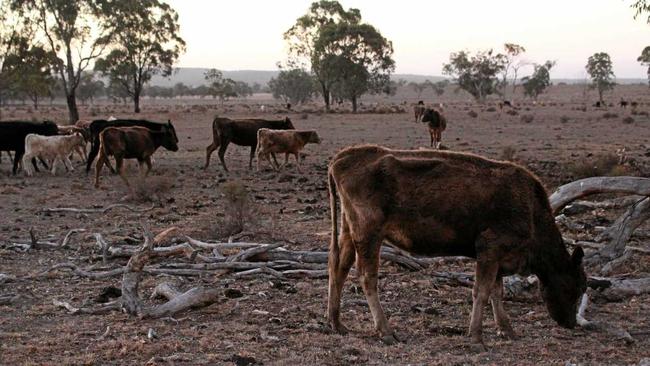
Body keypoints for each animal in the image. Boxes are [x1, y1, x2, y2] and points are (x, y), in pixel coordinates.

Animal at [326, 144, 584, 346]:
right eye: (576, 286)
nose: (571, 323)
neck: (531, 210)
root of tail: (342, 158)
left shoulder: (497, 259)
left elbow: (496, 292)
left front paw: (506, 330)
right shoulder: (489, 250)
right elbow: (481, 291)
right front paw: (477, 337)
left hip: (349, 231)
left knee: (339, 267)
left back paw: (336, 323)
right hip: (370, 236)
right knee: (366, 277)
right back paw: (386, 332)